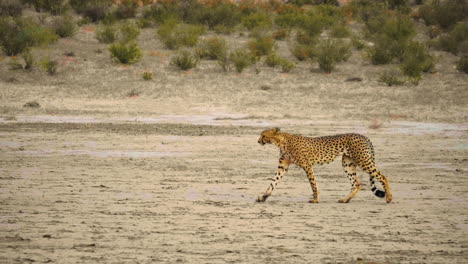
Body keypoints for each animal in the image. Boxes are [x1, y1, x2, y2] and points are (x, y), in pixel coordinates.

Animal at [256, 128, 392, 204]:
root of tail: (363, 135)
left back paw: (389, 198)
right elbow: (273, 182)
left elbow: (313, 184)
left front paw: (315, 199)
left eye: (264, 135)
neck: (281, 141)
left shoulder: (307, 165)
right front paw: (263, 197)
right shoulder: (282, 167)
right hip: (347, 163)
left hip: (363, 161)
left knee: (383, 177)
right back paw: (345, 200)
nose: (258, 141)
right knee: (356, 184)